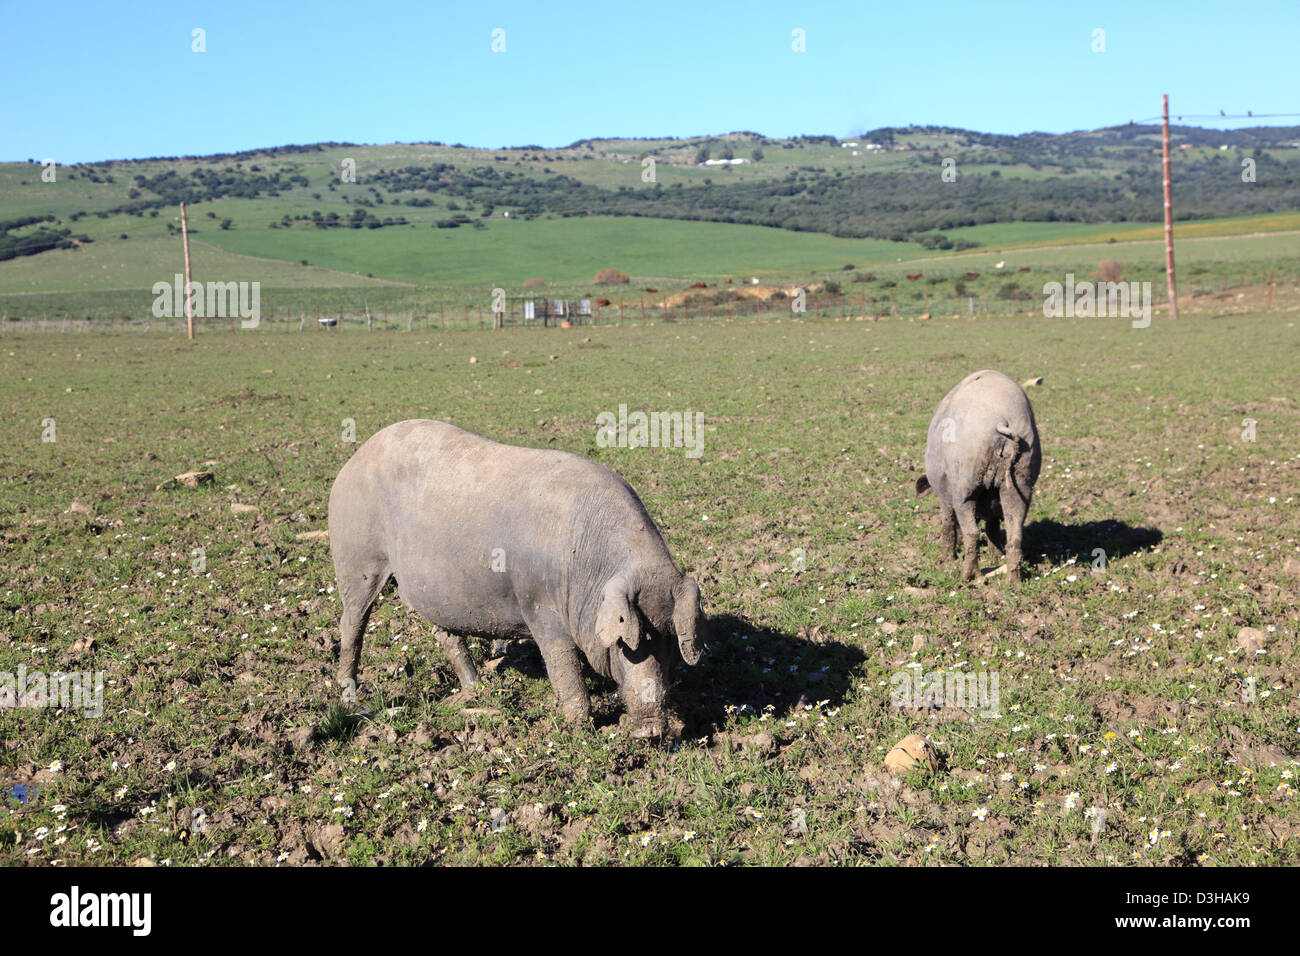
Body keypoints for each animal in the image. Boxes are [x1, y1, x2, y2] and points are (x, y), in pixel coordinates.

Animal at [330, 418, 707, 738]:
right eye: (627, 643)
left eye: (670, 642)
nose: (653, 731)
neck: (590, 569)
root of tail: (353, 459)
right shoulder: (538, 604)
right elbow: (562, 665)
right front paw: (576, 728)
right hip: (356, 559)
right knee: (352, 624)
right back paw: (349, 699)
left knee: (446, 634)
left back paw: (475, 691)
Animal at [920, 369, 1040, 582]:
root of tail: (1000, 421)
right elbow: (992, 526)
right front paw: (995, 555)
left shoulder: (944, 495)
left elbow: (948, 523)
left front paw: (945, 559)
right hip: (1021, 480)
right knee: (1015, 534)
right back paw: (1013, 581)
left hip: (965, 483)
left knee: (972, 533)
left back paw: (968, 577)